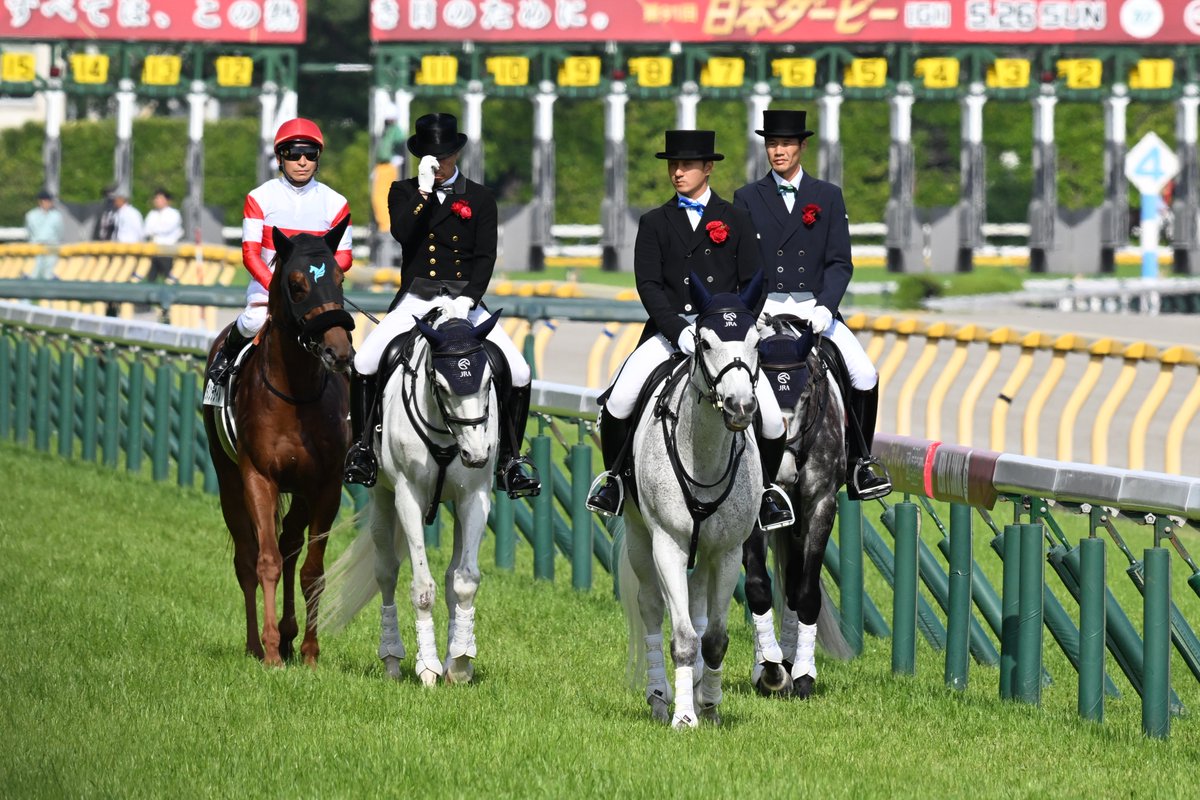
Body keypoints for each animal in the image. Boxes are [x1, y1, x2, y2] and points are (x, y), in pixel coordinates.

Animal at [202, 220, 355, 671]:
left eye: (339, 278)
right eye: (297, 284)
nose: (338, 351)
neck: (295, 394)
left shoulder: (325, 485)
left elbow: (312, 570)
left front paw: (308, 651)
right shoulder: (259, 476)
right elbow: (264, 561)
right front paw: (270, 652)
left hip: (300, 492)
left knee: (289, 546)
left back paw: (289, 636)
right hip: (228, 480)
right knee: (247, 558)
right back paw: (258, 644)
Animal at [614, 272, 763, 729]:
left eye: (757, 341)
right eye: (705, 343)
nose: (740, 406)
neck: (705, 454)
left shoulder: (728, 551)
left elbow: (712, 638)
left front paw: (709, 706)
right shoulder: (669, 544)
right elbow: (681, 637)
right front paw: (683, 717)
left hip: (706, 553)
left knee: (696, 608)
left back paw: (695, 688)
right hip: (640, 538)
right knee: (650, 607)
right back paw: (661, 697)